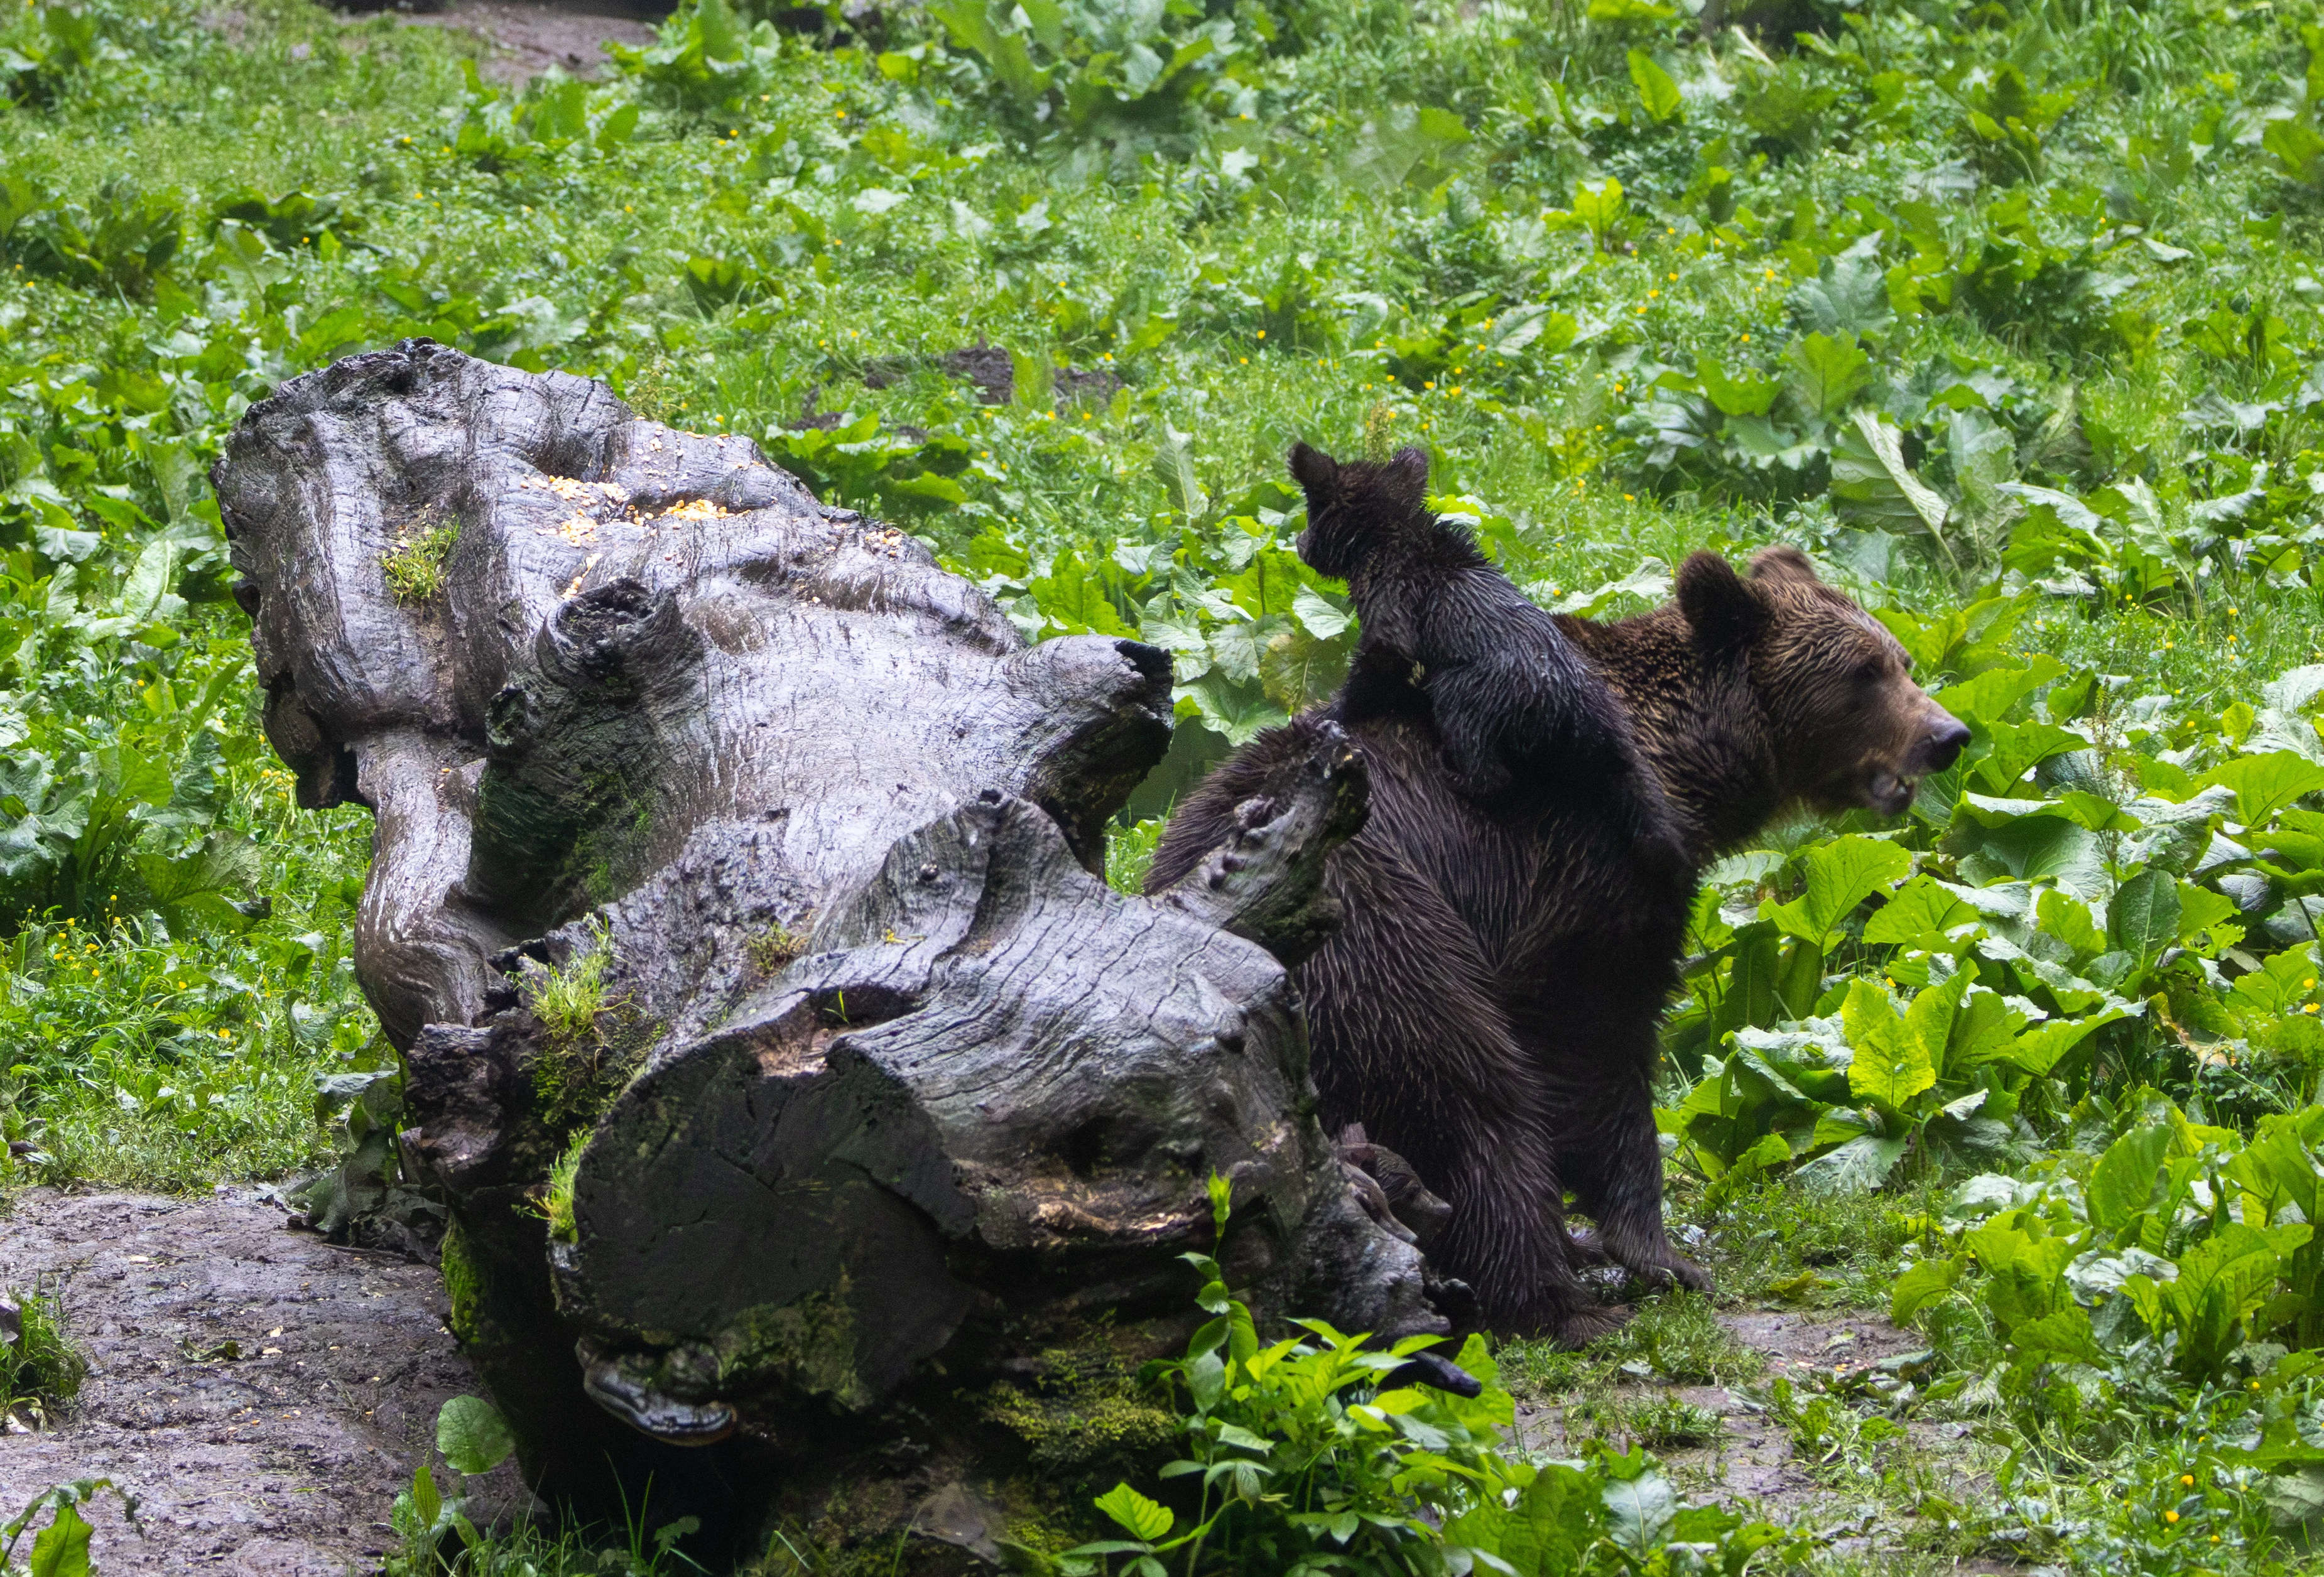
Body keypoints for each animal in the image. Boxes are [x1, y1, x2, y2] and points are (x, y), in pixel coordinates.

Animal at [1149, 444, 1968, 1345]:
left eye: (1900, 657)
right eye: (1864, 674)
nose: (1949, 735)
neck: (1686, 770)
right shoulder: (1585, 872)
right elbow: (1597, 1041)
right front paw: (1658, 1249)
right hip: (1378, 935)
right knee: (1467, 1091)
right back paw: (1553, 1294)